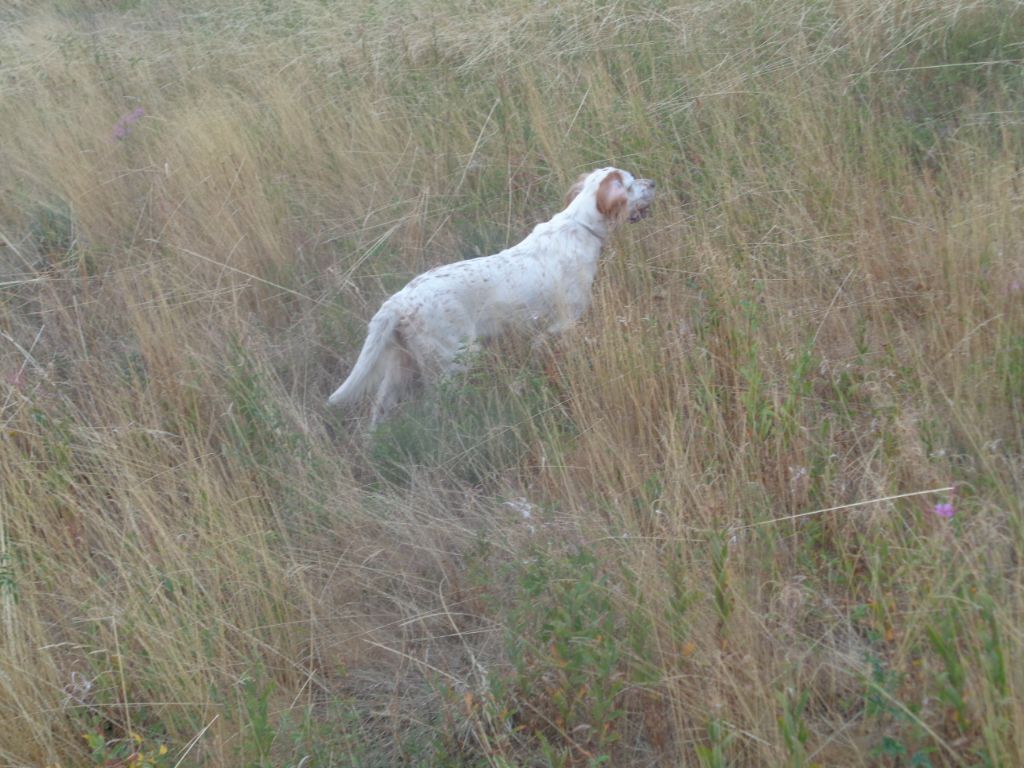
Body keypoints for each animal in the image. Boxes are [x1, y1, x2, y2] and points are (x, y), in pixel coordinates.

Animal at [327, 165, 651, 428]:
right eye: (631, 183)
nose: (654, 182)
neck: (579, 226)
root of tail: (400, 300)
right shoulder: (562, 324)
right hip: (453, 362)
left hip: (401, 368)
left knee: (378, 413)